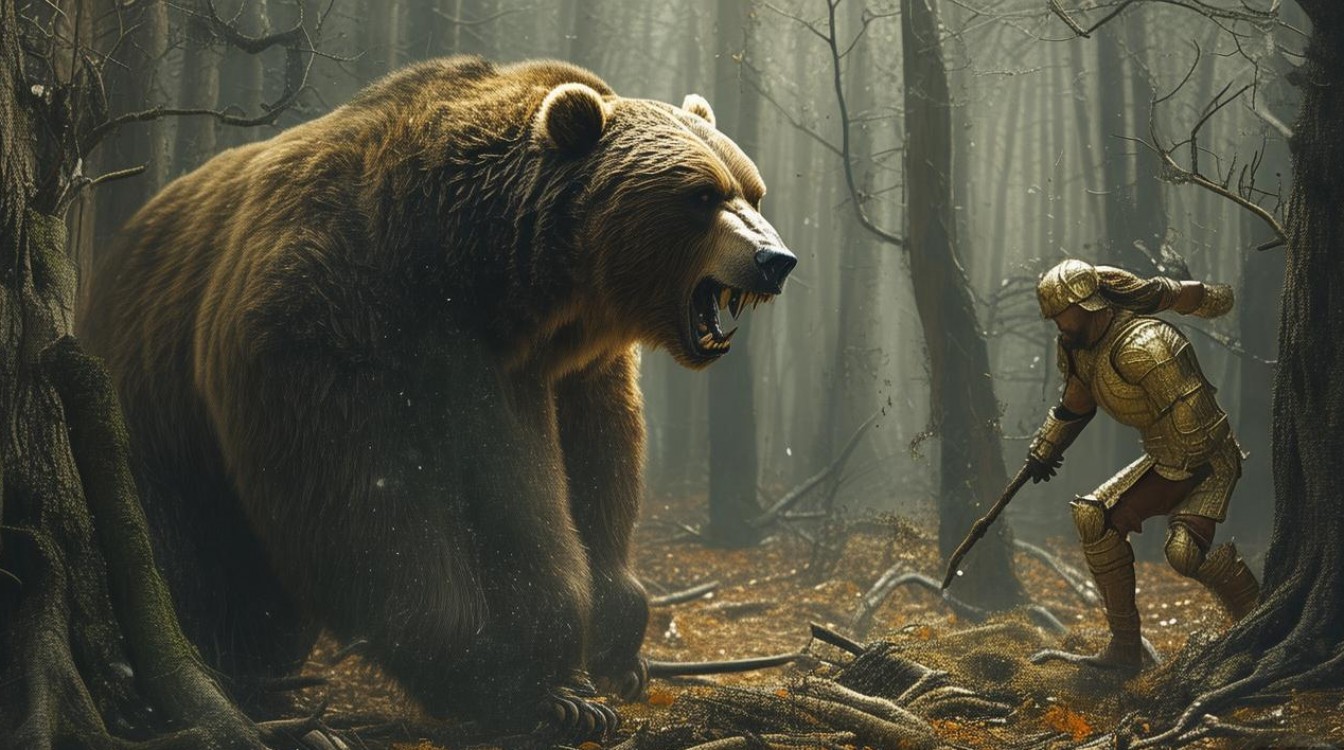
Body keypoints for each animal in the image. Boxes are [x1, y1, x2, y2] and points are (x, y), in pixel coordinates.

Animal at [80, 57, 795, 738]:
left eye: (753, 190)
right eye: (701, 194)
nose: (776, 259)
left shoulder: (577, 369)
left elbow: (600, 473)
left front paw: (617, 652)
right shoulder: (335, 322)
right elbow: (374, 503)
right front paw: (525, 681)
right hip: (150, 415)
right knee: (188, 559)